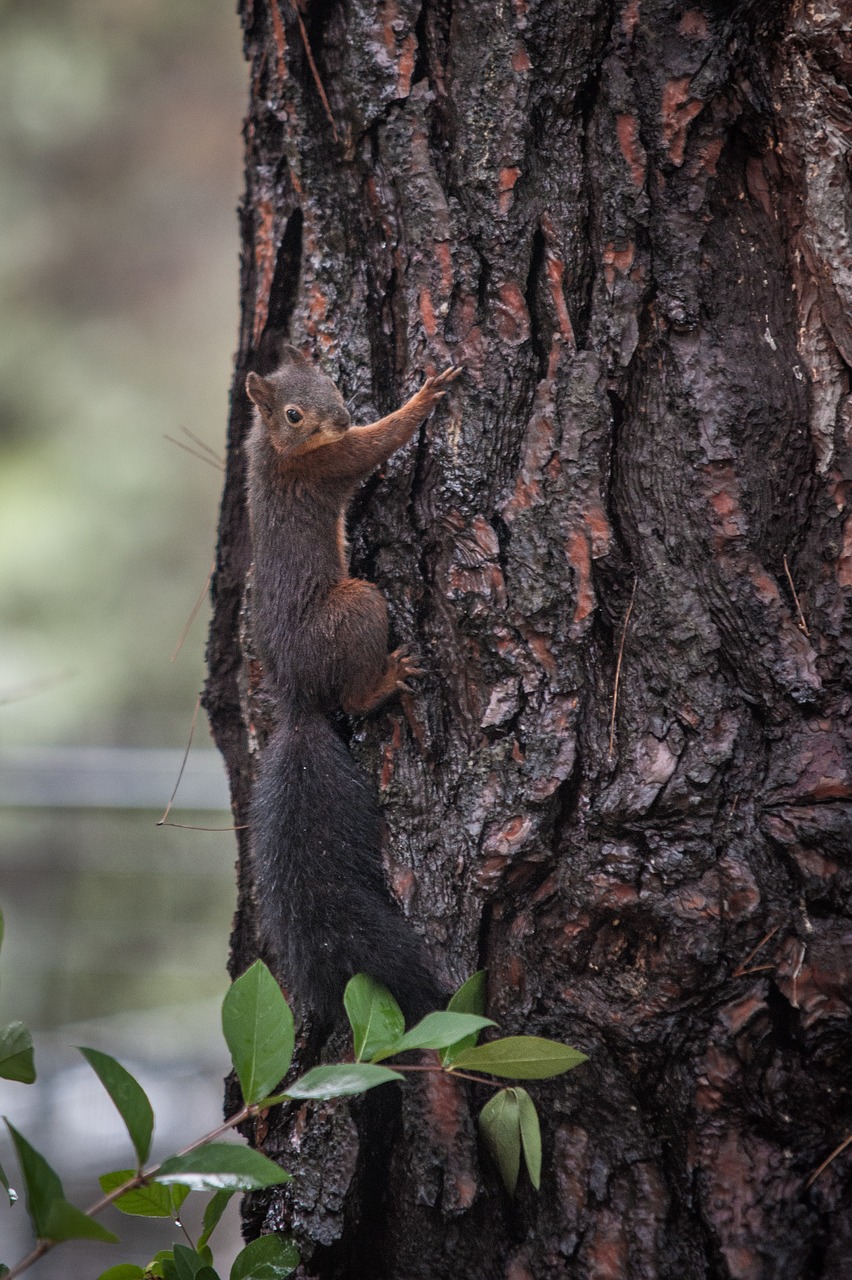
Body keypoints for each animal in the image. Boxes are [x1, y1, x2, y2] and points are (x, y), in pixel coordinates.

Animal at [241, 345, 460, 1024]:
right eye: (293, 412)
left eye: (333, 383)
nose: (340, 418)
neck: (276, 447)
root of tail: (296, 695)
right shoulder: (326, 466)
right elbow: (374, 445)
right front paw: (425, 396)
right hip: (359, 607)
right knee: (353, 693)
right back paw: (388, 680)